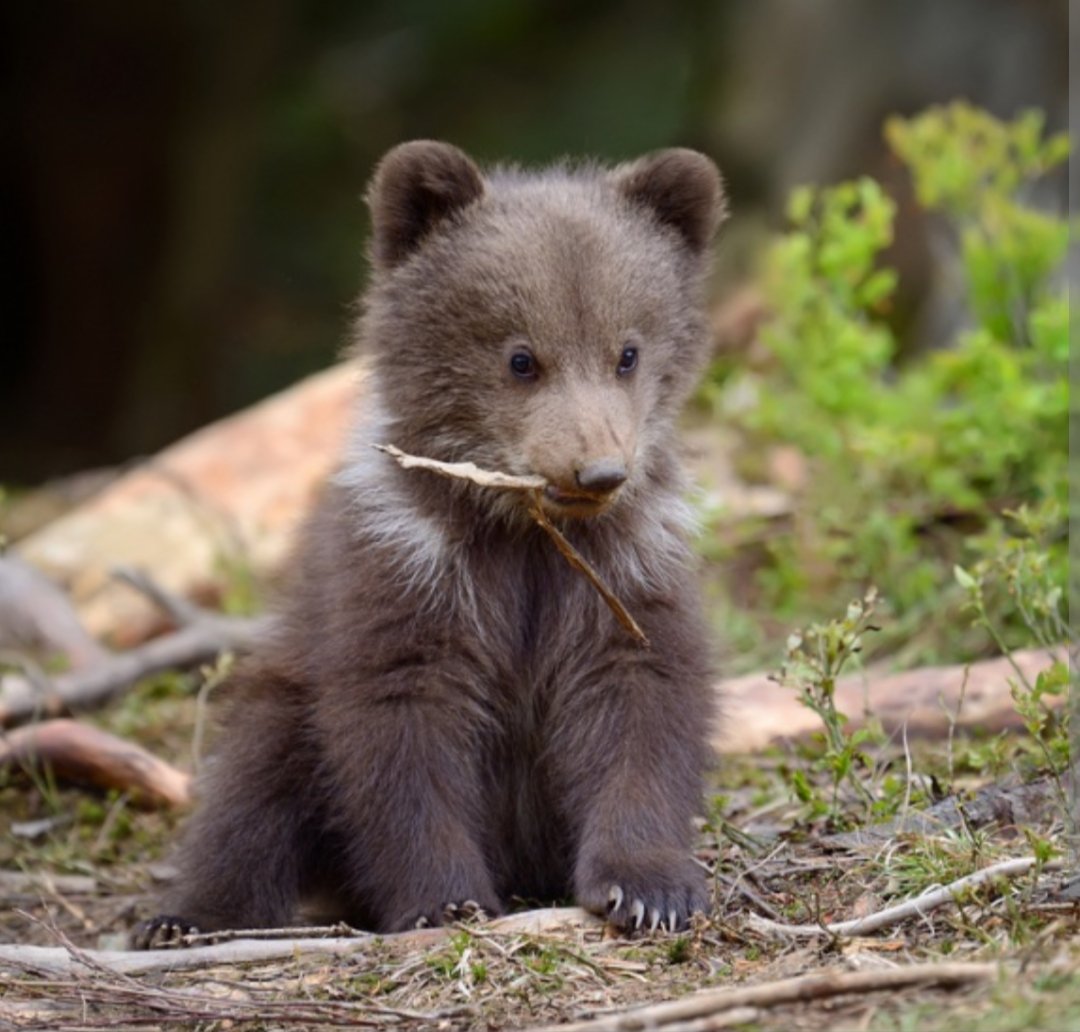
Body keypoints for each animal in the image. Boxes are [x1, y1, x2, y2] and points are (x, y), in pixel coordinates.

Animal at [135, 140, 726, 945]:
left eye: (627, 352)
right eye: (520, 358)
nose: (599, 471)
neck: (521, 532)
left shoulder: (622, 571)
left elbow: (640, 707)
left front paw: (648, 888)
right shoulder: (408, 568)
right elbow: (403, 733)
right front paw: (447, 899)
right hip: (293, 686)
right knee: (255, 783)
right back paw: (191, 917)